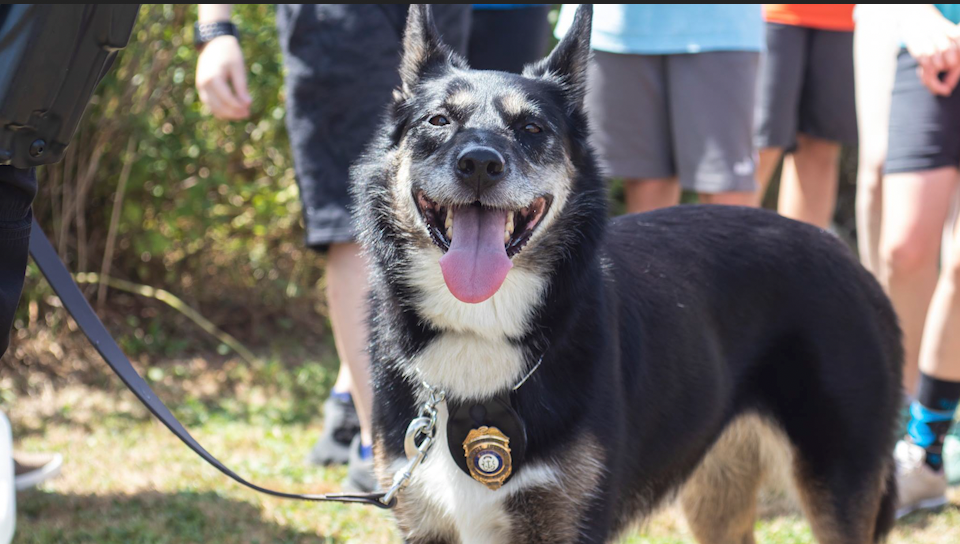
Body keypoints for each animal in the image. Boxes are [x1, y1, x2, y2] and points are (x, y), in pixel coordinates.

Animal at [350, 5, 900, 544]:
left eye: (532, 129)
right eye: (439, 120)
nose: (481, 164)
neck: (480, 328)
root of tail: (847, 257)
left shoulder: (568, 521)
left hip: (836, 484)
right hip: (716, 490)